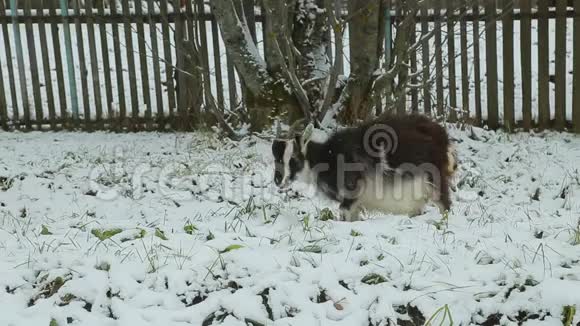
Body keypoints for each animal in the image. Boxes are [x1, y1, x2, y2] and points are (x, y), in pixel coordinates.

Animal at [272, 113, 458, 220]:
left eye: (294, 158)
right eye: (276, 158)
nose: (278, 180)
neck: (327, 157)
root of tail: (442, 136)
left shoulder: (352, 190)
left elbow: (343, 212)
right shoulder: (356, 203)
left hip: (435, 179)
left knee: (445, 204)